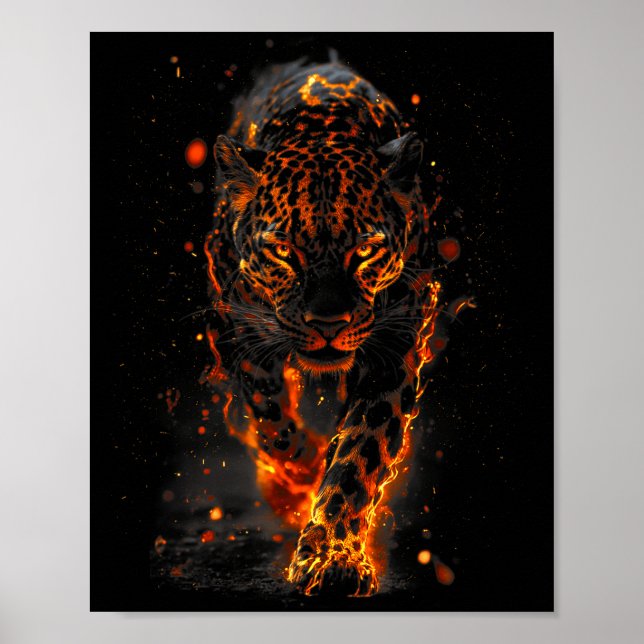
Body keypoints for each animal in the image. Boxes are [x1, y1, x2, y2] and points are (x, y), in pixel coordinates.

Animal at [203, 55, 453, 597]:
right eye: (283, 251)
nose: (328, 323)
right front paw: (302, 468)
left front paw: (333, 556)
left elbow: (359, 455)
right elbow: (271, 419)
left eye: (364, 251)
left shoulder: (392, 352)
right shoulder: (239, 329)